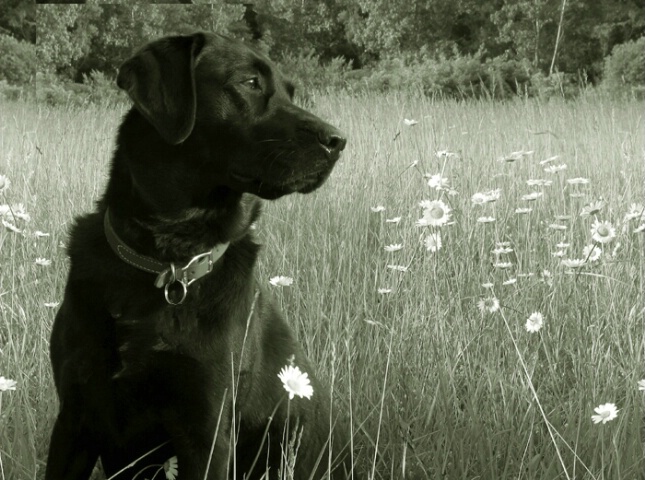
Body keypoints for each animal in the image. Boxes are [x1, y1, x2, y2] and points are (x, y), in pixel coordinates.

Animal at [45, 31, 352, 480]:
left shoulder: (206, 430)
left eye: (290, 92)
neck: (168, 259)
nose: (337, 141)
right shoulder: (74, 416)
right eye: (250, 82)